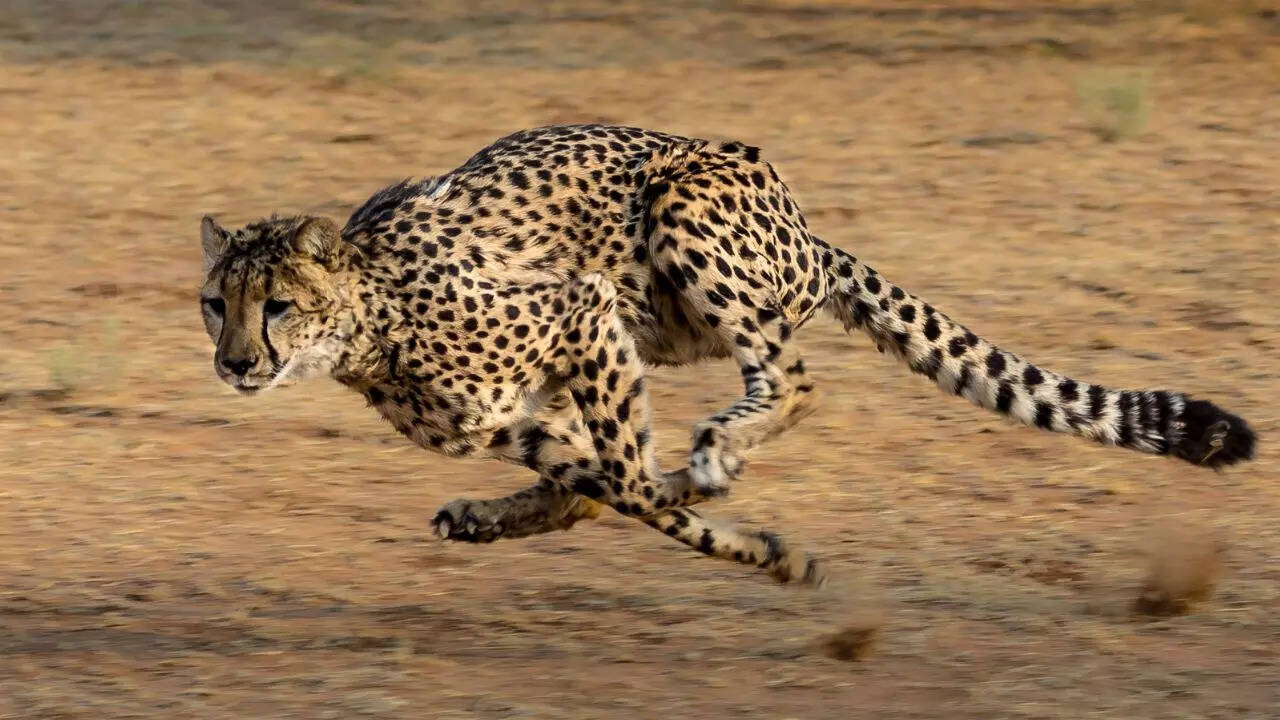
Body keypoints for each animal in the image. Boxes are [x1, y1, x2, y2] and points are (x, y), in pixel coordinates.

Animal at [198, 123, 1256, 587]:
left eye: (277, 305)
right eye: (217, 305)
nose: (235, 364)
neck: (369, 322)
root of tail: (805, 226)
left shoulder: (581, 311)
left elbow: (630, 483)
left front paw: (754, 539)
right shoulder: (512, 416)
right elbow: (606, 486)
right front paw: (754, 543)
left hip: (682, 219)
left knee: (793, 378)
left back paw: (718, 450)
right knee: (604, 478)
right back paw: (509, 513)